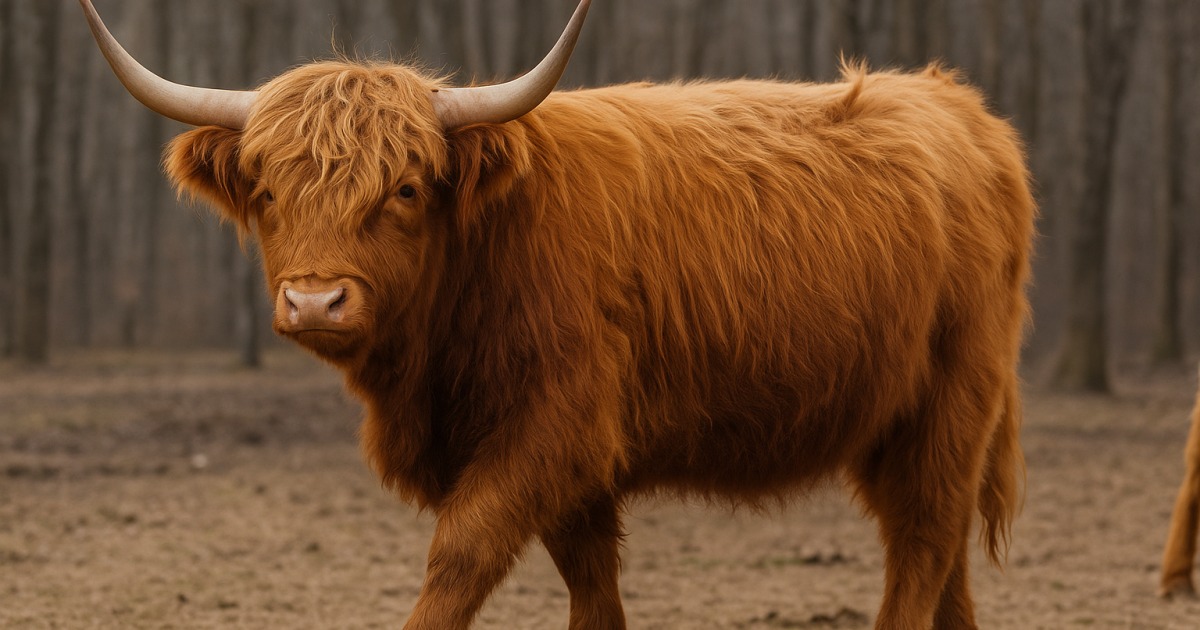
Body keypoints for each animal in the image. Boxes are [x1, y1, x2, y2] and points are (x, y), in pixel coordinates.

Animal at [81, 0, 1034, 628]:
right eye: (269, 190)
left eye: (406, 189)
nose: (315, 299)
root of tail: (959, 106)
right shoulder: (576, 468)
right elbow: (592, 586)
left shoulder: (555, 427)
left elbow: (460, 555)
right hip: (901, 423)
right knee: (943, 562)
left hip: (950, 404)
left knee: (921, 547)